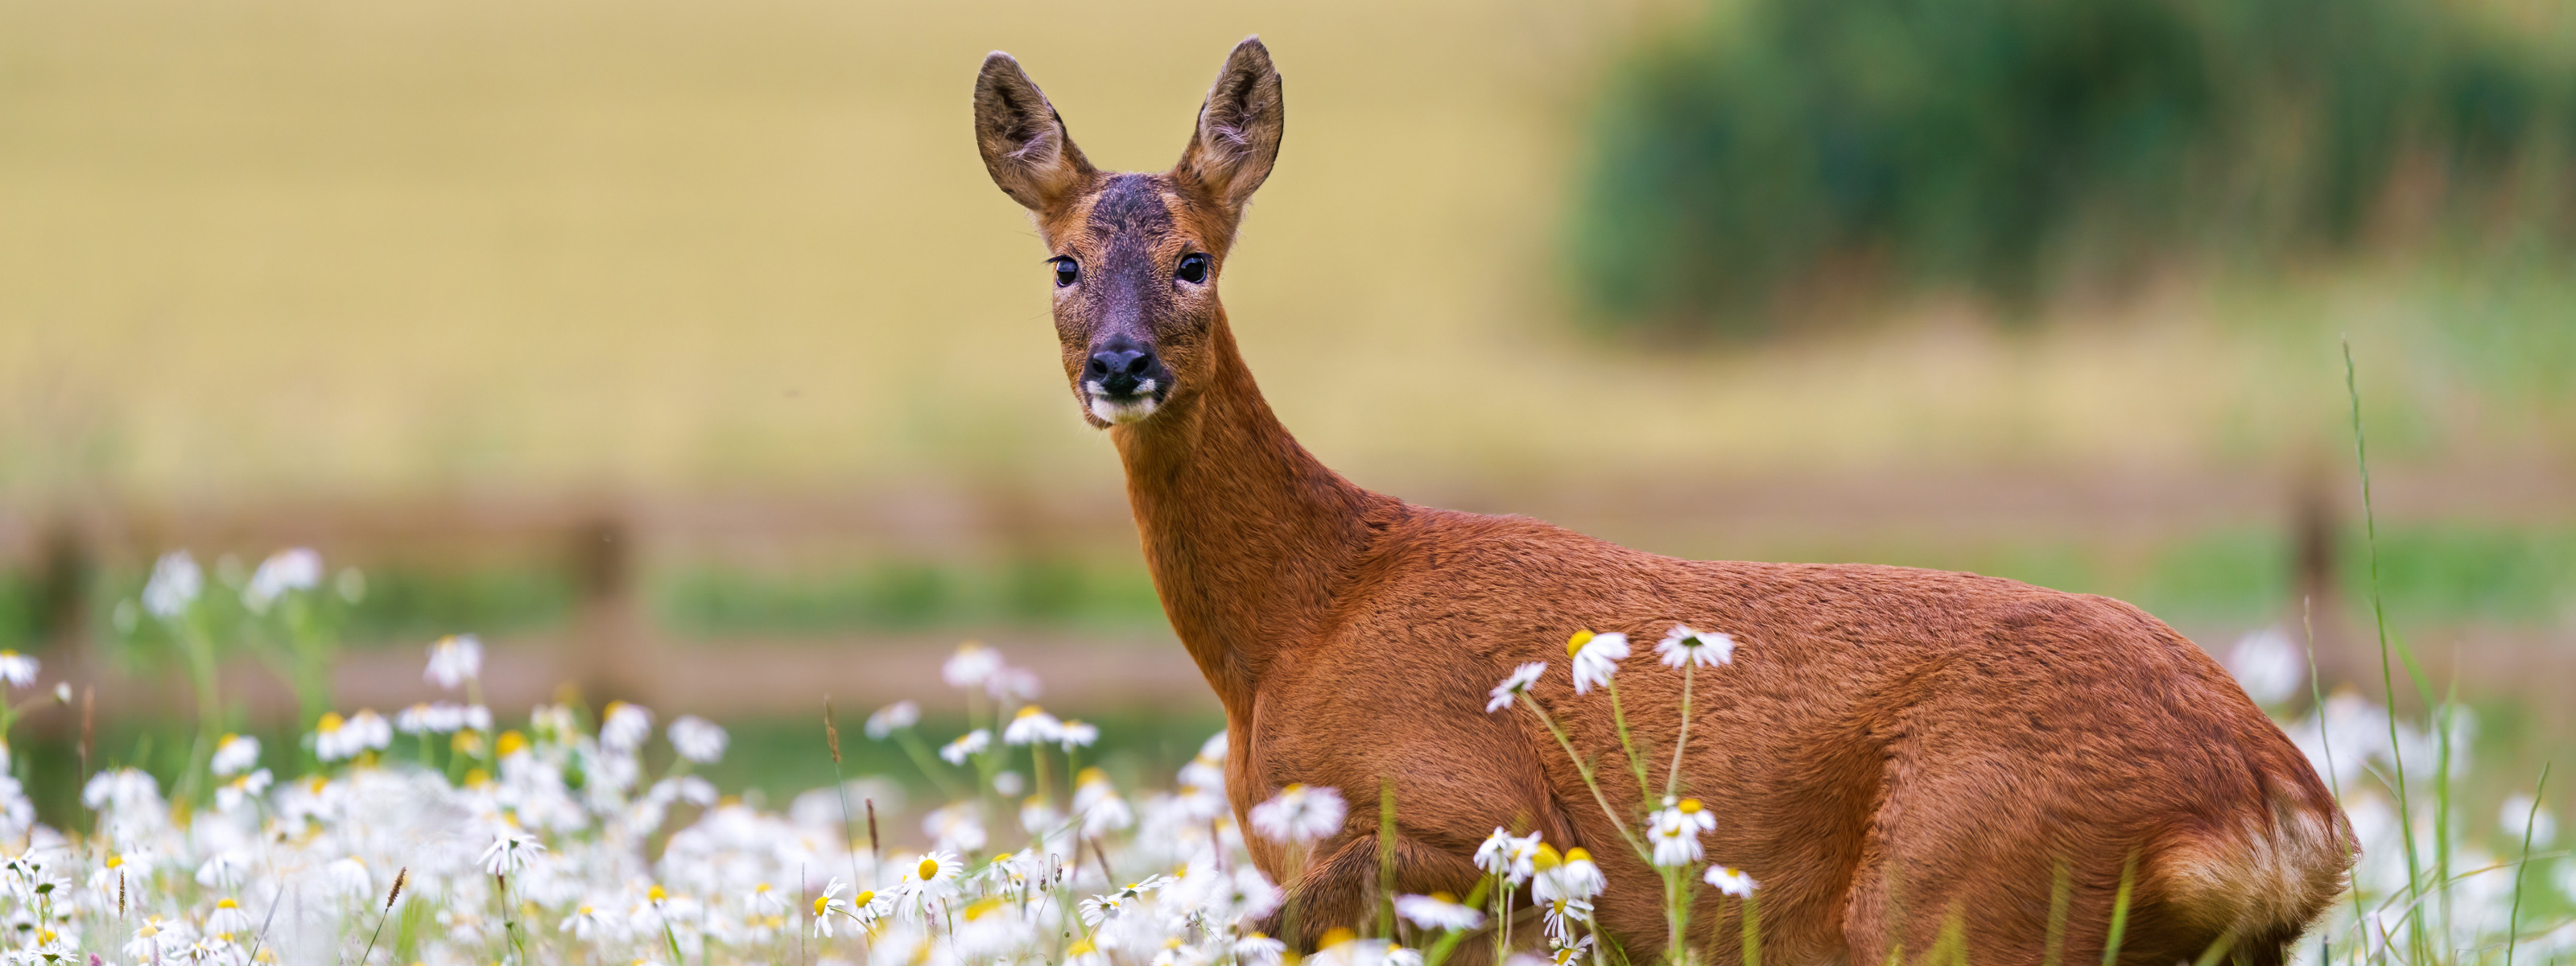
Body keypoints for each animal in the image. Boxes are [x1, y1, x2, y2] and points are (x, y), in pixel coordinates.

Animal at [968, 39, 2359, 966]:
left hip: (1970, 892)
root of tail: (2285, 813)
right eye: (1063, 266)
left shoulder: (1479, 823)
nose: (1121, 366)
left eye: (1194, 261)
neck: (1299, 624)